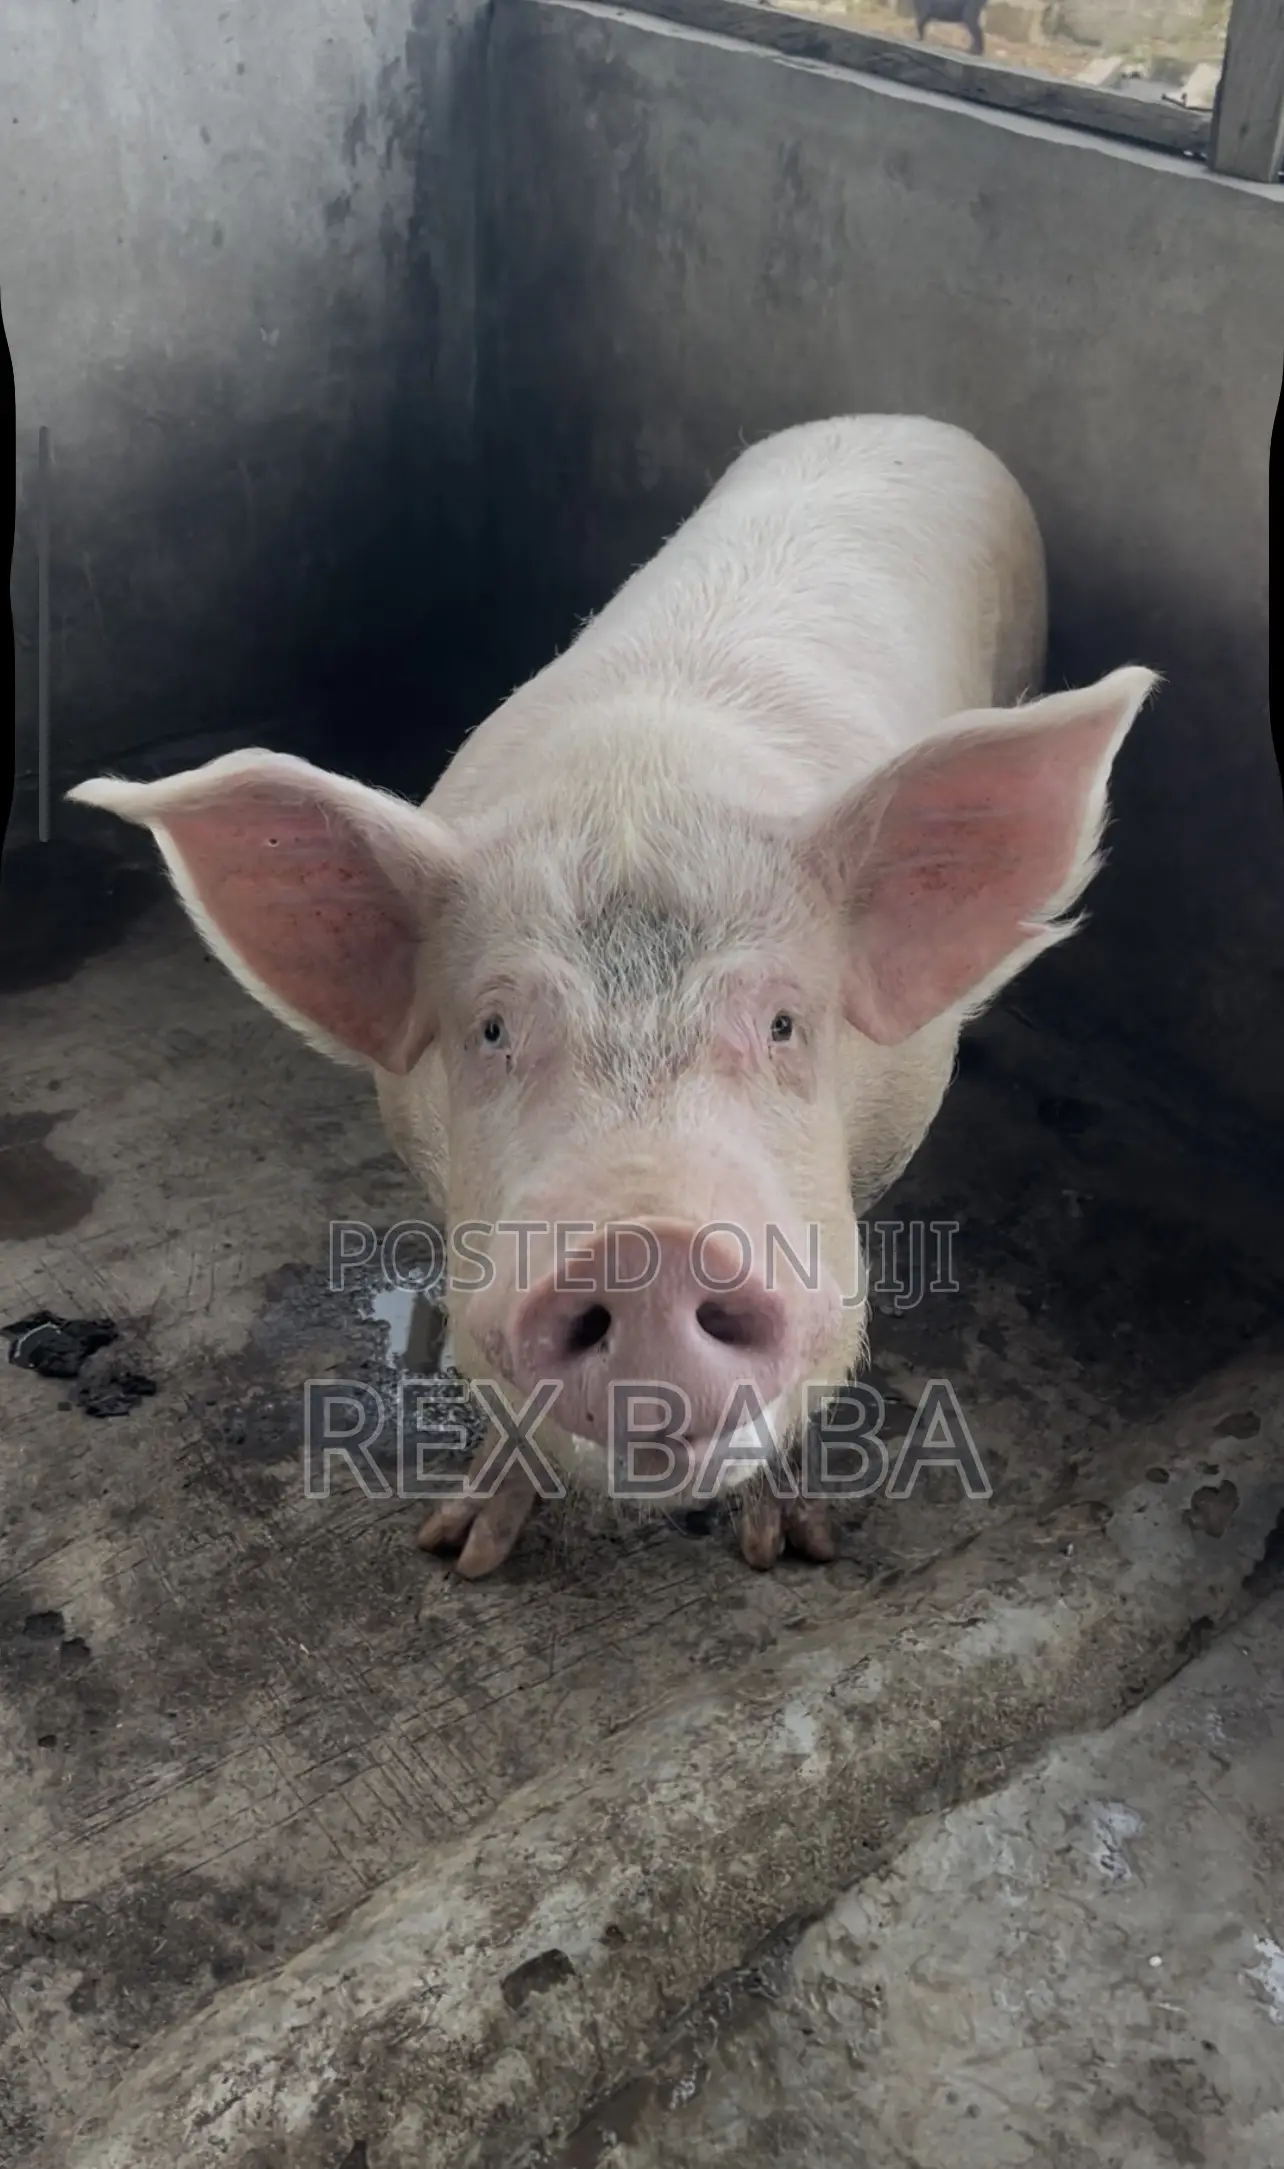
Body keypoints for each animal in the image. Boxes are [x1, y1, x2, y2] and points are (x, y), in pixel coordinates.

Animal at [71, 415, 1157, 1578]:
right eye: (492, 1028)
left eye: (786, 1022)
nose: (648, 1249)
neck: (641, 785)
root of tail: (902, 418)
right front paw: (460, 1549)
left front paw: (787, 1547)